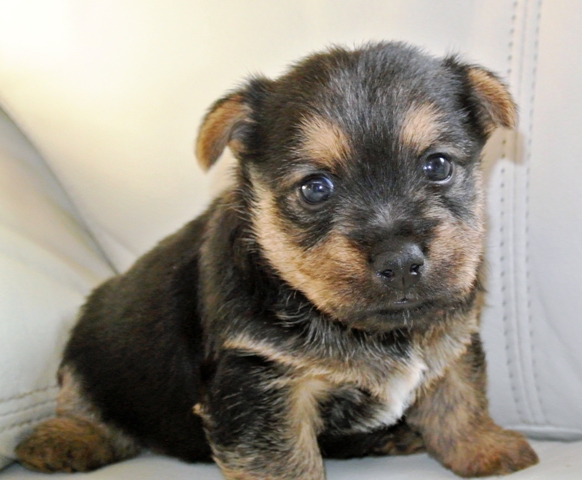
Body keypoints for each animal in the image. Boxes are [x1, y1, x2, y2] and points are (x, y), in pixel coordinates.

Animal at [16, 43, 540, 478]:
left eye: (437, 165)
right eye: (315, 188)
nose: (400, 260)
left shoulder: (451, 335)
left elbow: (460, 395)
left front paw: (486, 448)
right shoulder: (260, 385)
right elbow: (283, 461)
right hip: (93, 346)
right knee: (81, 400)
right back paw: (63, 439)